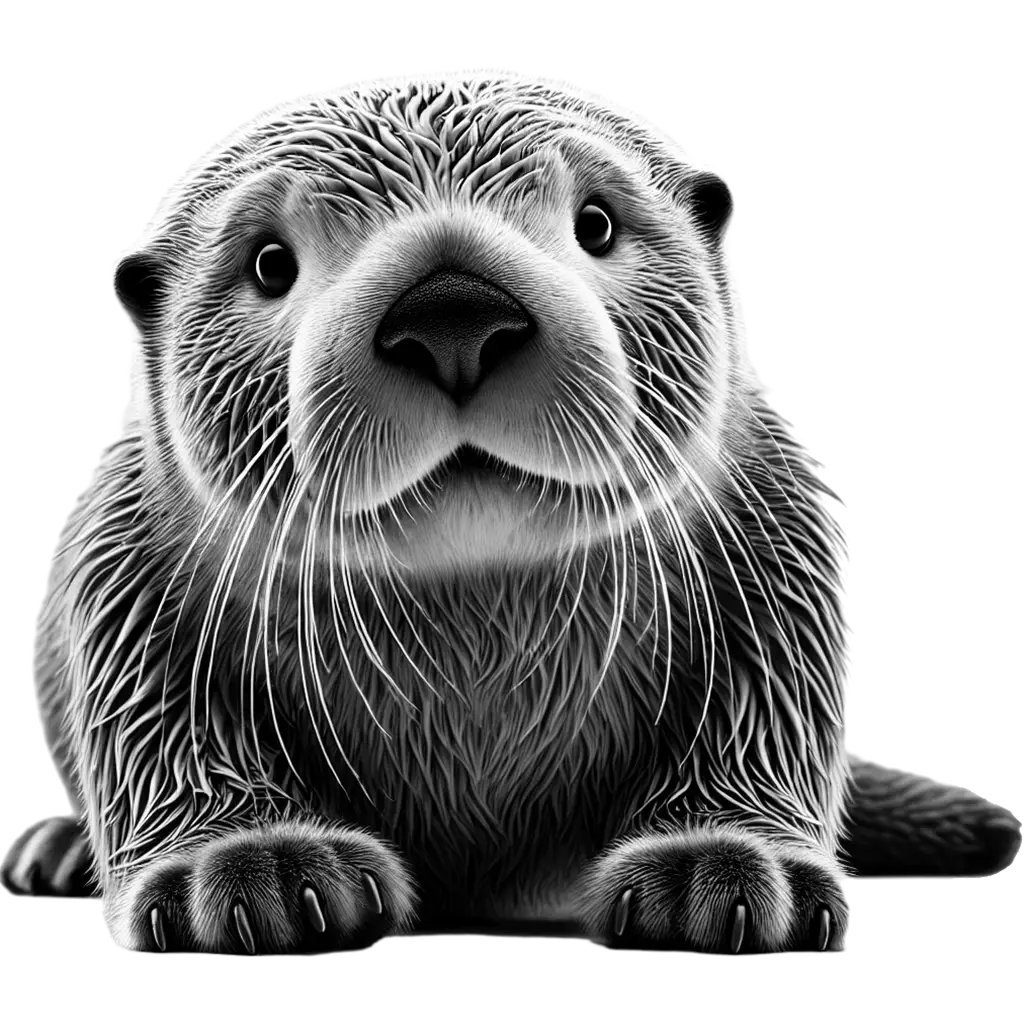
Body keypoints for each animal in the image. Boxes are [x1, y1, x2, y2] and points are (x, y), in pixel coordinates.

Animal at [2, 73, 1020, 956]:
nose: (452, 314)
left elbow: (766, 702)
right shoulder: (123, 561)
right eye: (270, 263)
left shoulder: (775, 532)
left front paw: (722, 870)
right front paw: (257, 869)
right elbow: (156, 720)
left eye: (596, 223)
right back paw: (56, 850)